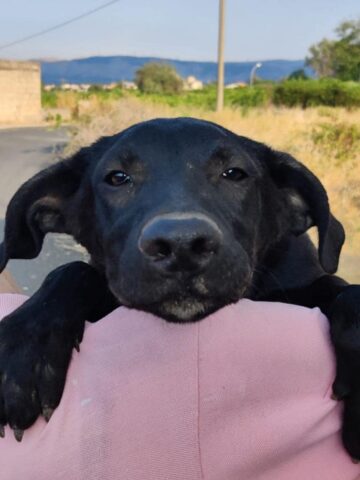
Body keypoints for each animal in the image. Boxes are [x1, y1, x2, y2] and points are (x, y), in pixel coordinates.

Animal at [0, 116, 360, 458]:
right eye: (117, 178)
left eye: (234, 173)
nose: (182, 246)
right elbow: (73, 270)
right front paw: (24, 347)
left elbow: (340, 287)